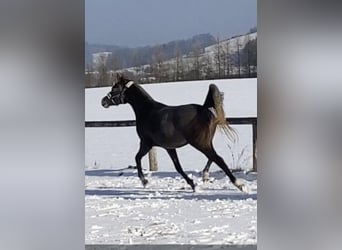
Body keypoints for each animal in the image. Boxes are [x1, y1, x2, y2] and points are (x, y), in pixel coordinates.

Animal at [101, 74, 246, 191]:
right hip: (206, 141)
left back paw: (239, 184)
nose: (103, 101)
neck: (148, 111)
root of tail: (205, 109)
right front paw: (193, 184)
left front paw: (145, 182)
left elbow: (137, 158)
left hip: (199, 143)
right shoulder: (169, 148)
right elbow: (178, 167)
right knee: (212, 157)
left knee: (218, 158)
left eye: (115, 88)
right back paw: (205, 175)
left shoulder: (146, 143)